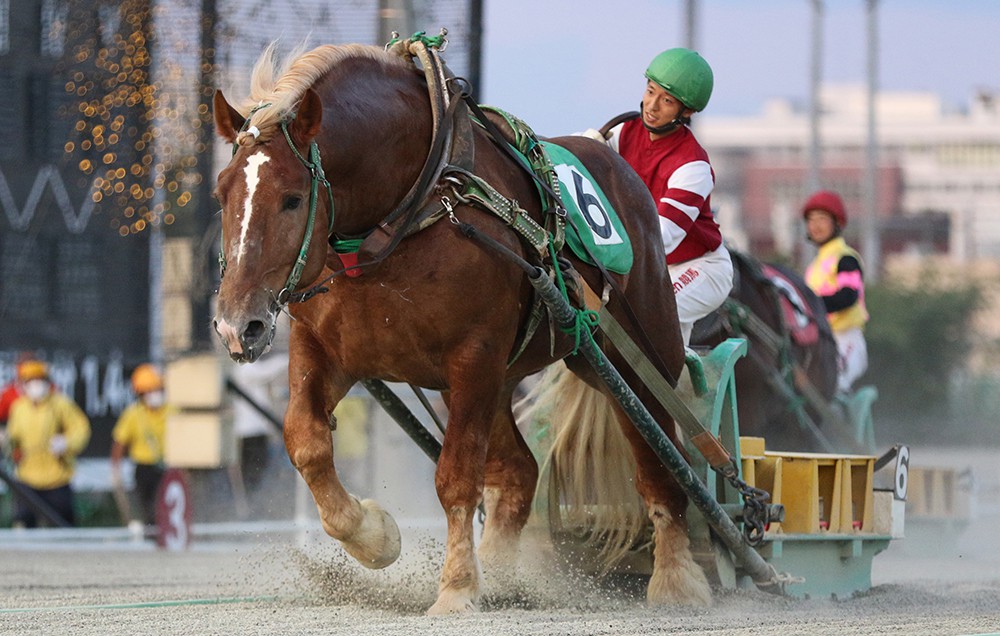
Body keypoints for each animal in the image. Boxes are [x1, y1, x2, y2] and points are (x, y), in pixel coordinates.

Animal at [211, 42, 712, 612]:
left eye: (293, 198)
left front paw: (455, 588)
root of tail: (622, 171)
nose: (237, 325)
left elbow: (455, 478)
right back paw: (502, 573)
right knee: (518, 473)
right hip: (502, 378)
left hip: (632, 359)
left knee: (663, 464)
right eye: (222, 194)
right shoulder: (326, 348)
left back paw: (676, 579)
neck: (413, 206)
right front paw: (375, 537)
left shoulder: (474, 356)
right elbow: (305, 442)